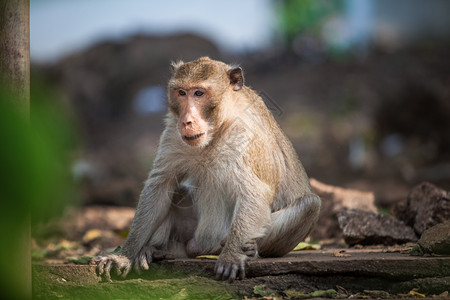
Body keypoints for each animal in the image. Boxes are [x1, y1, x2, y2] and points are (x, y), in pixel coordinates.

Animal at [94, 56, 320, 284]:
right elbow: (160, 186)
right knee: (177, 194)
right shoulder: (173, 132)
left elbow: (255, 192)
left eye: (199, 93)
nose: (187, 121)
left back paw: (249, 250)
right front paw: (124, 255)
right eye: (181, 93)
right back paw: (158, 250)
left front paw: (232, 255)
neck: (219, 128)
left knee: (310, 204)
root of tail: (199, 247)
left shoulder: (245, 135)